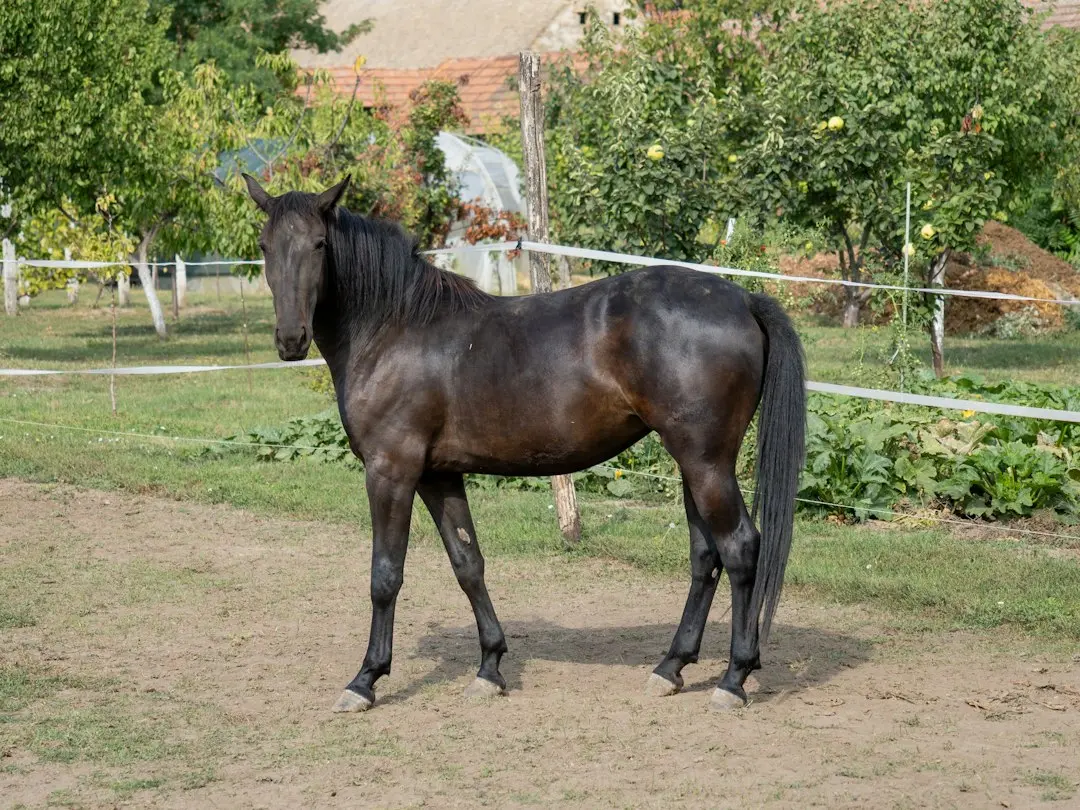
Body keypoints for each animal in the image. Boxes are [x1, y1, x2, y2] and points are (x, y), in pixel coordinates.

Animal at [242, 173, 806, 713]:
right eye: (266, 245)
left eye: (319, 244)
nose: (290, 340)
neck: (394, 329)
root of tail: (744, 299)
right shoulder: (438, 475)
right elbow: (468, 564)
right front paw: (490, 668)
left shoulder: (391, 471)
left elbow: (385, 575)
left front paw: (365, 680)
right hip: (693, 463)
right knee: (704, 557)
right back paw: (670, 668)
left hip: (707, 463)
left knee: (739, 550)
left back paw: (734, 679)